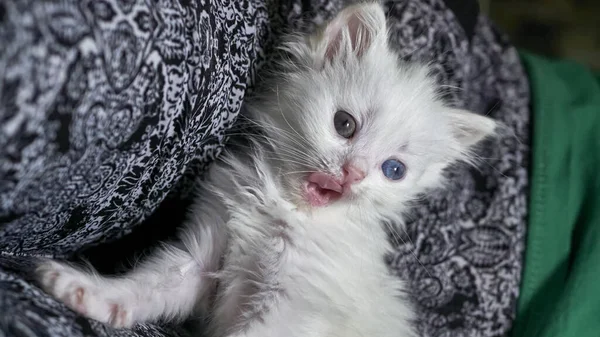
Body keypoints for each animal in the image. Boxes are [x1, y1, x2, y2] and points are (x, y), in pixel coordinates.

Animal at [36, 3, 496, 336]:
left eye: (394, 170)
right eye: (344, 125)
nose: (354, 174)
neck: (283, 207)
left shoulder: (293, 308)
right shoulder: (200, 260)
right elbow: (145, 288)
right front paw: (86, 292)